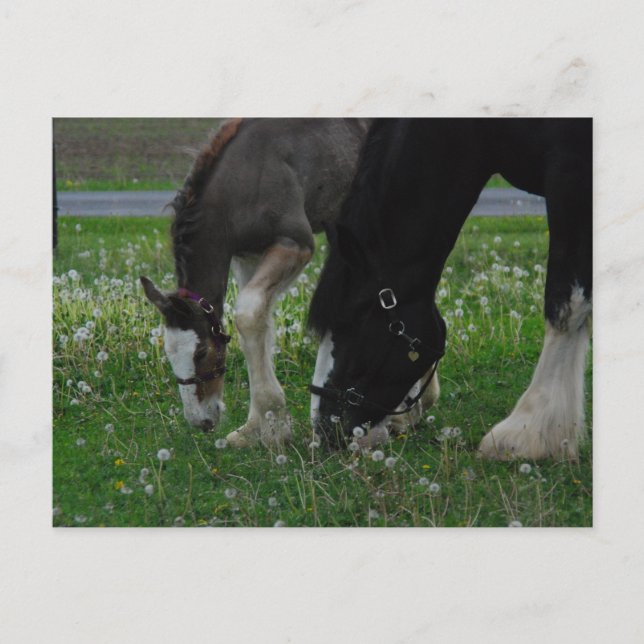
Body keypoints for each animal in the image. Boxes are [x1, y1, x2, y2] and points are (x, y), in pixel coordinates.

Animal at [141, 118, 373, 447]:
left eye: (200, 353)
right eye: (168, 354)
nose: (200, 421)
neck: (242, 181)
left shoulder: (295, 243)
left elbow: (248, 316)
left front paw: (273, 424)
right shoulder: (248, 256)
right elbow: (260, 324)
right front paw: (258, 427)